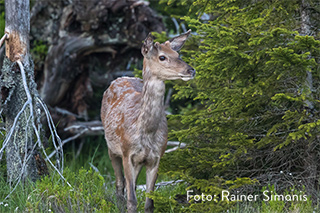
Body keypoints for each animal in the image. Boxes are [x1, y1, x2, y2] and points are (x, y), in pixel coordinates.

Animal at [101, 30, 195, 213]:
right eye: (162, 57)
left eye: (177, 54)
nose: (191, 70)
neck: (146, 132)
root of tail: (120, 77)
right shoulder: (127, 152)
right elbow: (132, 201)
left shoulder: (156, 156)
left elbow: (149, 203)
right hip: (111, 147)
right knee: (119, 183)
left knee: (129, 185)